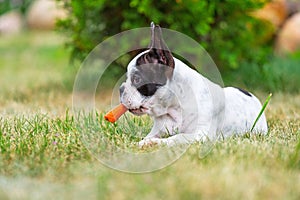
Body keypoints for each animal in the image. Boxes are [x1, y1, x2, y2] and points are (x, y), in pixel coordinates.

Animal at [119, 22, 268, 147]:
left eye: (137, 79)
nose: (121, 89)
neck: (174, 107)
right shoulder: (159, 129)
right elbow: (149, 136)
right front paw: (143, 142)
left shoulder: (200, 135)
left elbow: (177, 137)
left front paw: (155, 143)